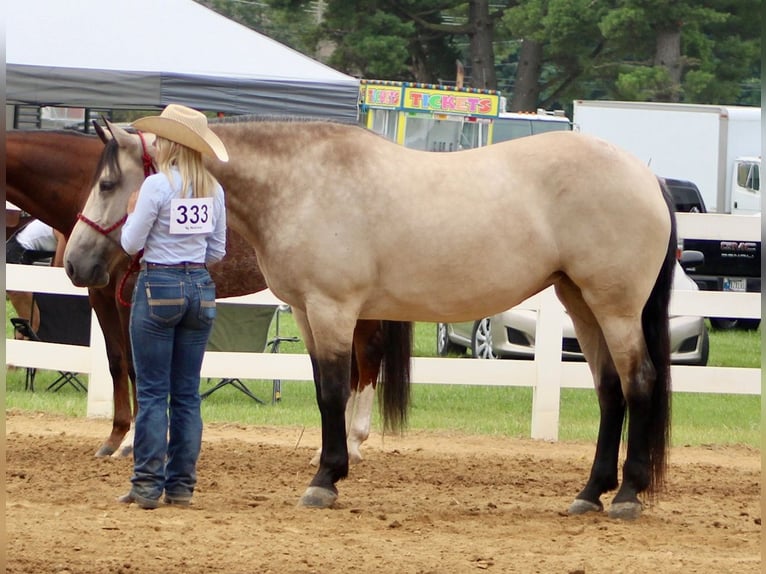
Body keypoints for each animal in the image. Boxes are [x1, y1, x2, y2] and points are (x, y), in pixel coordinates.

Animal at [7, 128, 414, 466]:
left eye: (107, 185)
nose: (73, 263)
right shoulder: (102, 294)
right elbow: (116, 362)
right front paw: (115, 437)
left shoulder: (132, 295)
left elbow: (139, 367)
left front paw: (134, 440)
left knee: (367, 355)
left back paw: (354, 443)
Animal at [64, 119, 680, 524]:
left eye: (107, 183)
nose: (75, 264)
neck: (301, 183)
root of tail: (647, 178)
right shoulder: (307, 314)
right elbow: (322, 391)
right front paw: (328, 470)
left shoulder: (333, 309)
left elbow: (335, 391)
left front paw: (325, 480)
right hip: (581, 302)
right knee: (610, 391)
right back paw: (591, 492)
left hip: (615, 307)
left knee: (639, 383)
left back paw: (627, 496)